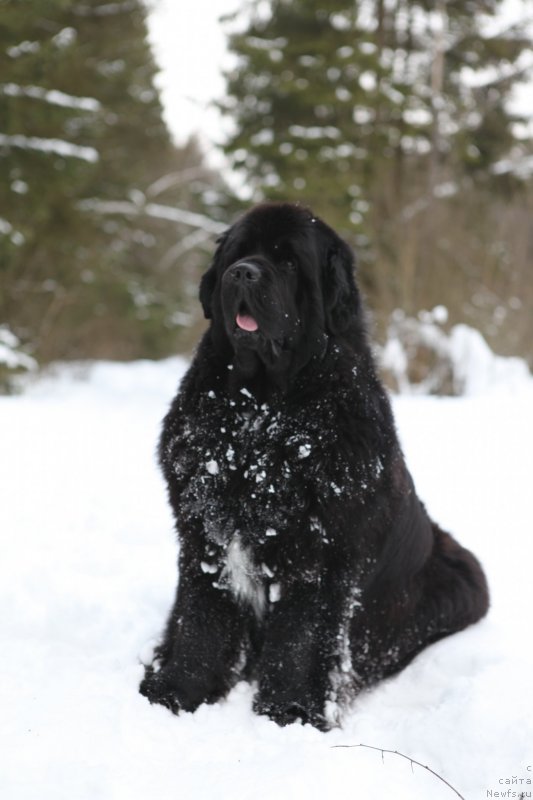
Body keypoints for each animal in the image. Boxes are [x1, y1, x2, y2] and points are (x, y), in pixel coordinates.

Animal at [139, 202, 488, 732]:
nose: (243, 273)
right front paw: (177, 692)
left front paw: (289, 712)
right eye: (238, 255)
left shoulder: (319, 552)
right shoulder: (204, 535)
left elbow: (300, 640)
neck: (260, 414)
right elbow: (201, 620)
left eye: (287, 262)